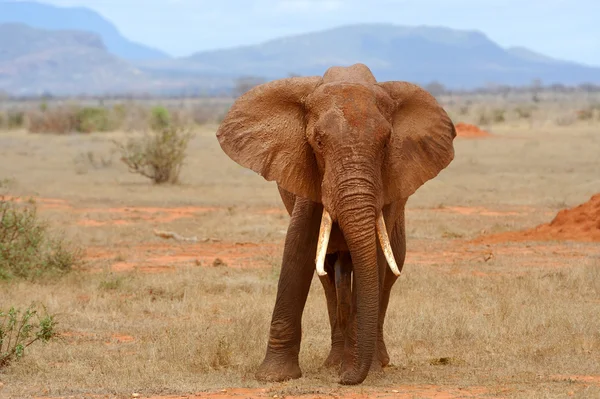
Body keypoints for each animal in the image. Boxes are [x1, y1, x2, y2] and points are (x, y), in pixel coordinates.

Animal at [216, 61, 454, 384]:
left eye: (387, 143)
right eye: (317, 142)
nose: (345, 380)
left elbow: (376, 257)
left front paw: (358, 369)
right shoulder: (306, 170)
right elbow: (298, 246)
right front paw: (274, 376)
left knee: (390, 272)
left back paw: (373, 361)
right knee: (329, 275)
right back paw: (333, 362)